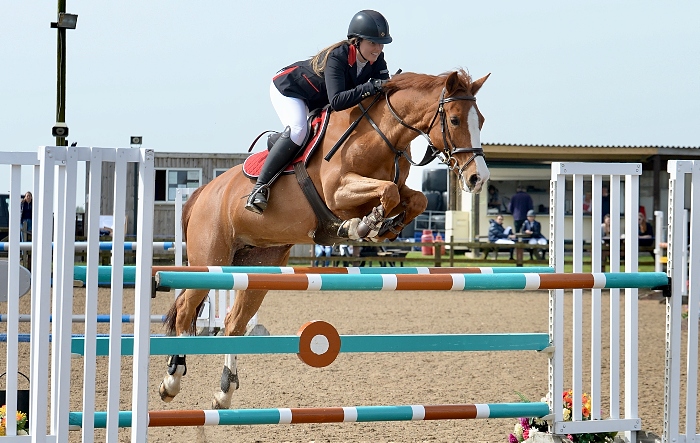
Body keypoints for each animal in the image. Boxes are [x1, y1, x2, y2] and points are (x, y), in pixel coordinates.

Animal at [159, 70, 490, 410]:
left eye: (481, 120)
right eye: (454, 120)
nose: (478, 178)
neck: (381, 135)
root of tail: (203, 193)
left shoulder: (393, 187)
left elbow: (415, 198)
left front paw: (386, 225)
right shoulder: (338, 192)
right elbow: (389, 193)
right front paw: (362, 225)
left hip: (259, 264)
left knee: (233, 323)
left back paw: (224, 392)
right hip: (210, 260)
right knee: (185, 309)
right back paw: (172, 381)